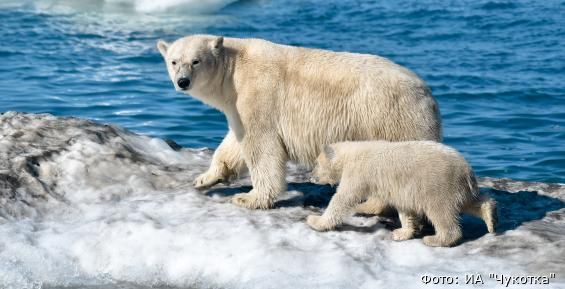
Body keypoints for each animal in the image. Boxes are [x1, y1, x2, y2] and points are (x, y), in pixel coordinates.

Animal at [158, 35, 440, 208]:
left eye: (196, 61)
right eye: (173, 61)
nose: (183, 81)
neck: (234, 69)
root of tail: (427, 94)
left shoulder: (258, 95)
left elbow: (261, 146)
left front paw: (249, 198)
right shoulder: (237, 105)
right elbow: (235, 143)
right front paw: (205, 178)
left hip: (390, 118)